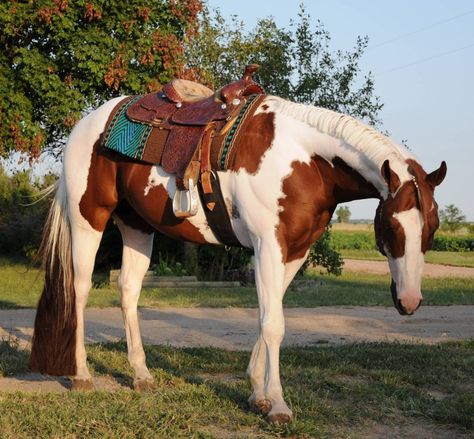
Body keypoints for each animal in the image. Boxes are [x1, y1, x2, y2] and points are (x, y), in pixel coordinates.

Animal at [29, 80, 444, 426]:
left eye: (433, 228)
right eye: (391, 227)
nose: (409, 302)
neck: (305, 160)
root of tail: (86, 125)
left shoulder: (294, 251)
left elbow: (268, 317)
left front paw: (257, 394)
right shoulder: (267, 245)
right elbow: (274, 324)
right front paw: (277, 405)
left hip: (137, 226)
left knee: (128, 292)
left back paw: (141, 375)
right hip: (90, 218)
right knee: (79, 289)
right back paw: (82, 375)